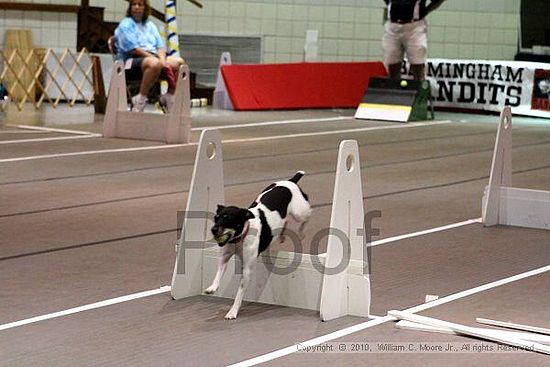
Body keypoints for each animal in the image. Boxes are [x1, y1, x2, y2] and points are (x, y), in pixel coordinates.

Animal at [206, 172, 312, 320]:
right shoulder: (225, 257)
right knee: (284, 222)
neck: (241, 237)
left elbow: (239, 295)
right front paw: (212, 287)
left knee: (308, 215)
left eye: (228, 219)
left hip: (299, 212)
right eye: (216, 218)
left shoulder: (246, 270)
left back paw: (301, 232)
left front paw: (233, 312)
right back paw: (281, 235)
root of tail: (291, 181)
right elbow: (219, 272)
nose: (213, 229)